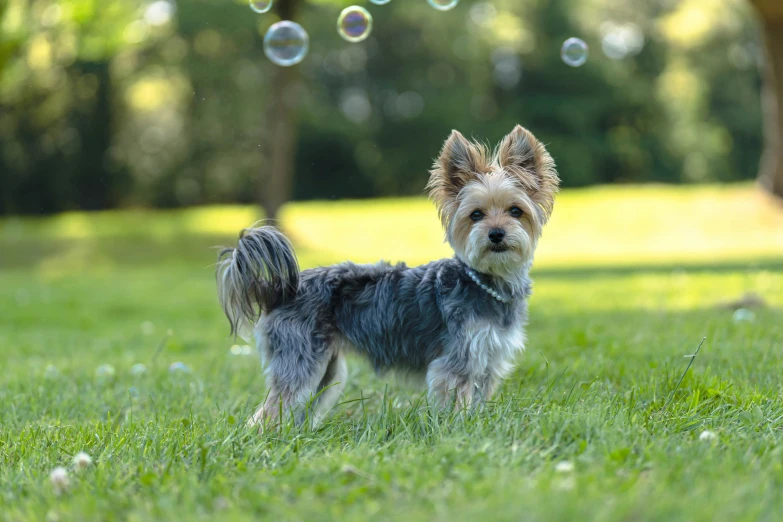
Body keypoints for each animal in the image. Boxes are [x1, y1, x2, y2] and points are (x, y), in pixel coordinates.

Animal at [214, 125, 556, 426]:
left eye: (515, 211)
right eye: (476, 215)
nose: (496, 234)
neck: (487, 281)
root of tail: (281, 290)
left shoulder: (487, 360)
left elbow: (478, 401)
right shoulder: (457, 362)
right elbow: (456, 402)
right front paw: (459, 430)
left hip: (325, 369)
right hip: (301, 357)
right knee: (270, 412)